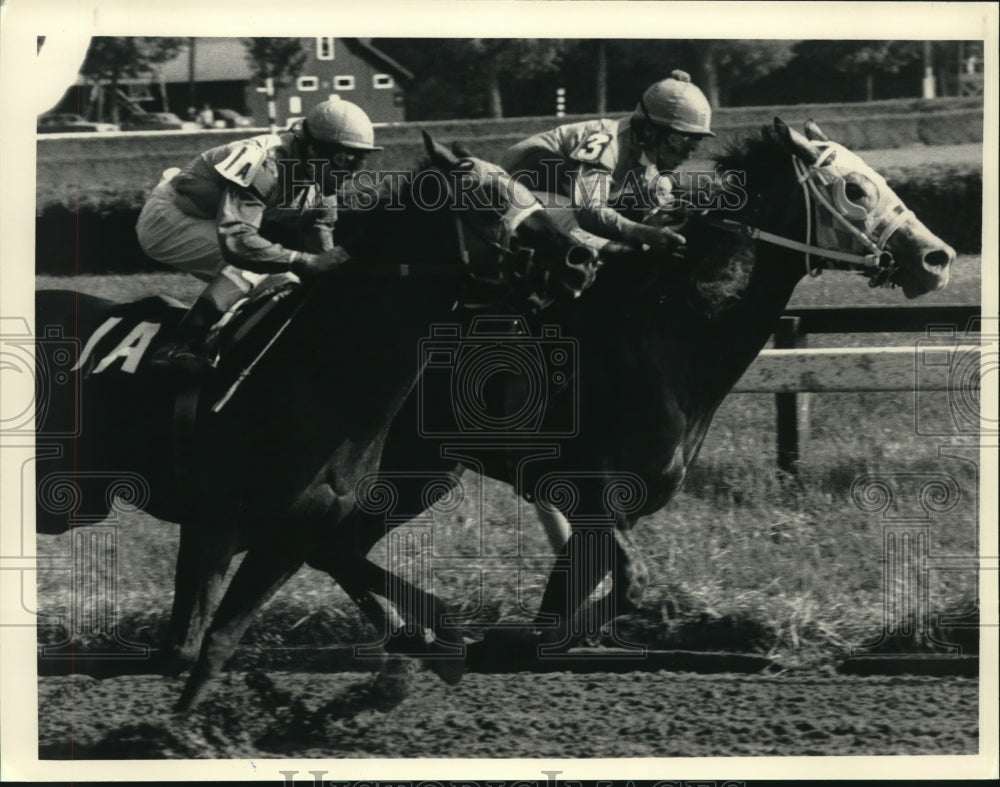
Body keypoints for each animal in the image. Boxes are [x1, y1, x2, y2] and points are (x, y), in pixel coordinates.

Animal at [33, 134, 592, 708]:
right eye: (487, 197)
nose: (581, 256)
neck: (320, 375)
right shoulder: (212, 522)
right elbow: (181, 649)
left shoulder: (292, 535)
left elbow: (213, 645)